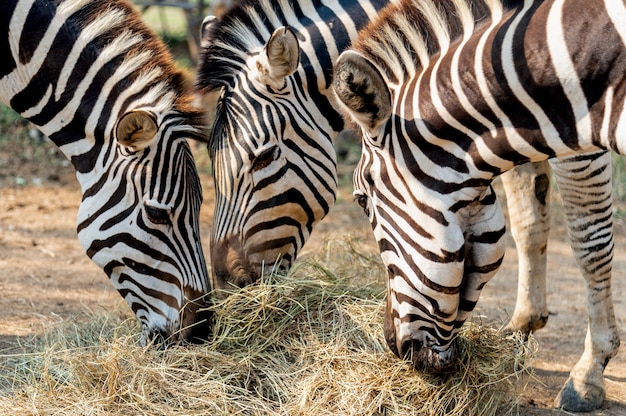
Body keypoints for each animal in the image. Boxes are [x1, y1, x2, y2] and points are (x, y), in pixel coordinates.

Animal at [332, 0, 620, 410]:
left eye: (360, 198)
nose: (391, 345)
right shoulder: (526, 133)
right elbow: (529, 223)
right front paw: (522, 328)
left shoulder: (579, 143)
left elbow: (589, 244)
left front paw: (589, 373)